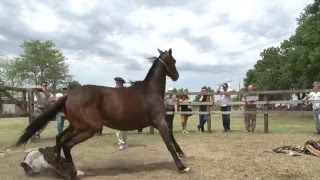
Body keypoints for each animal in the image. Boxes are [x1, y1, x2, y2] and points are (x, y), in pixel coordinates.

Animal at [15, 48, 190, 179]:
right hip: (89, 128)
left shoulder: (160, 121)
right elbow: (169, 143)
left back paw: (59, 164)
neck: (150, 91)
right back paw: (72, 171)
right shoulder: (159, 121)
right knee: (67, 144)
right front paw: (182, 167)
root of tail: (69, 95)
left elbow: (172, 137)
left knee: (60, 139)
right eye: (174, 61)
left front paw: (182, 154)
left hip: (76, 126)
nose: (176, 76)